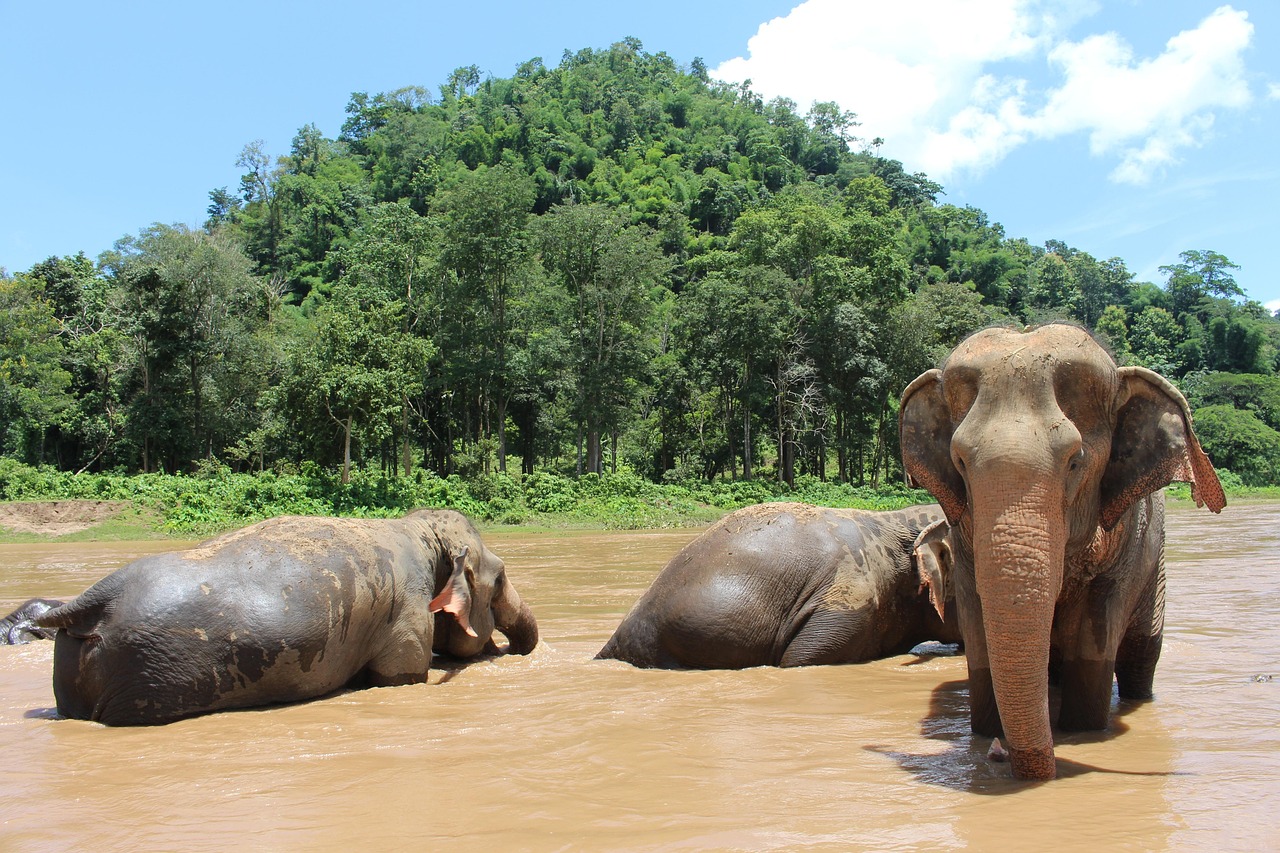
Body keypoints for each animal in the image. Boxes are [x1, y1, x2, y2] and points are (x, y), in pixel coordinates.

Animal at [36, 509, 538, 726]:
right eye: (499, 579)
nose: (510, 648)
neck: (419, 528)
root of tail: (94, 600)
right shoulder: (407, 613)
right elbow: (400, 677)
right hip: (147, 677)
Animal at [899, 323, 1225, 780]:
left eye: (1075, 461)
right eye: (960, 462)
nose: (998, 755)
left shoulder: (1128, 540)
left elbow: (1097, 630)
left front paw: (1082, 731)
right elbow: (978, 625)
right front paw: (985, 734)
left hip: (1155, 569)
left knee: (1142, 657)